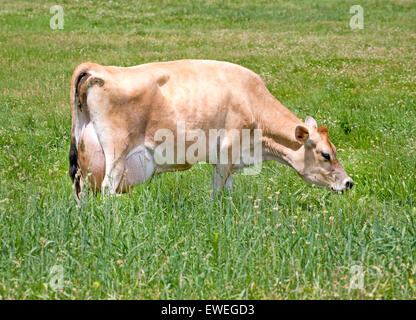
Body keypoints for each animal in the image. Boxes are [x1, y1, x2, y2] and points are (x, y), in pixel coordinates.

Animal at [69, 59, 354, 199]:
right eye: (326, 154)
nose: (349, 183)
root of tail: (99, 68)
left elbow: (227, 191)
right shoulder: (227, 151)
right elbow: (217, 191)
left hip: (85, 157)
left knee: (81, 188)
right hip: (116, 152)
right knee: (108, 188)